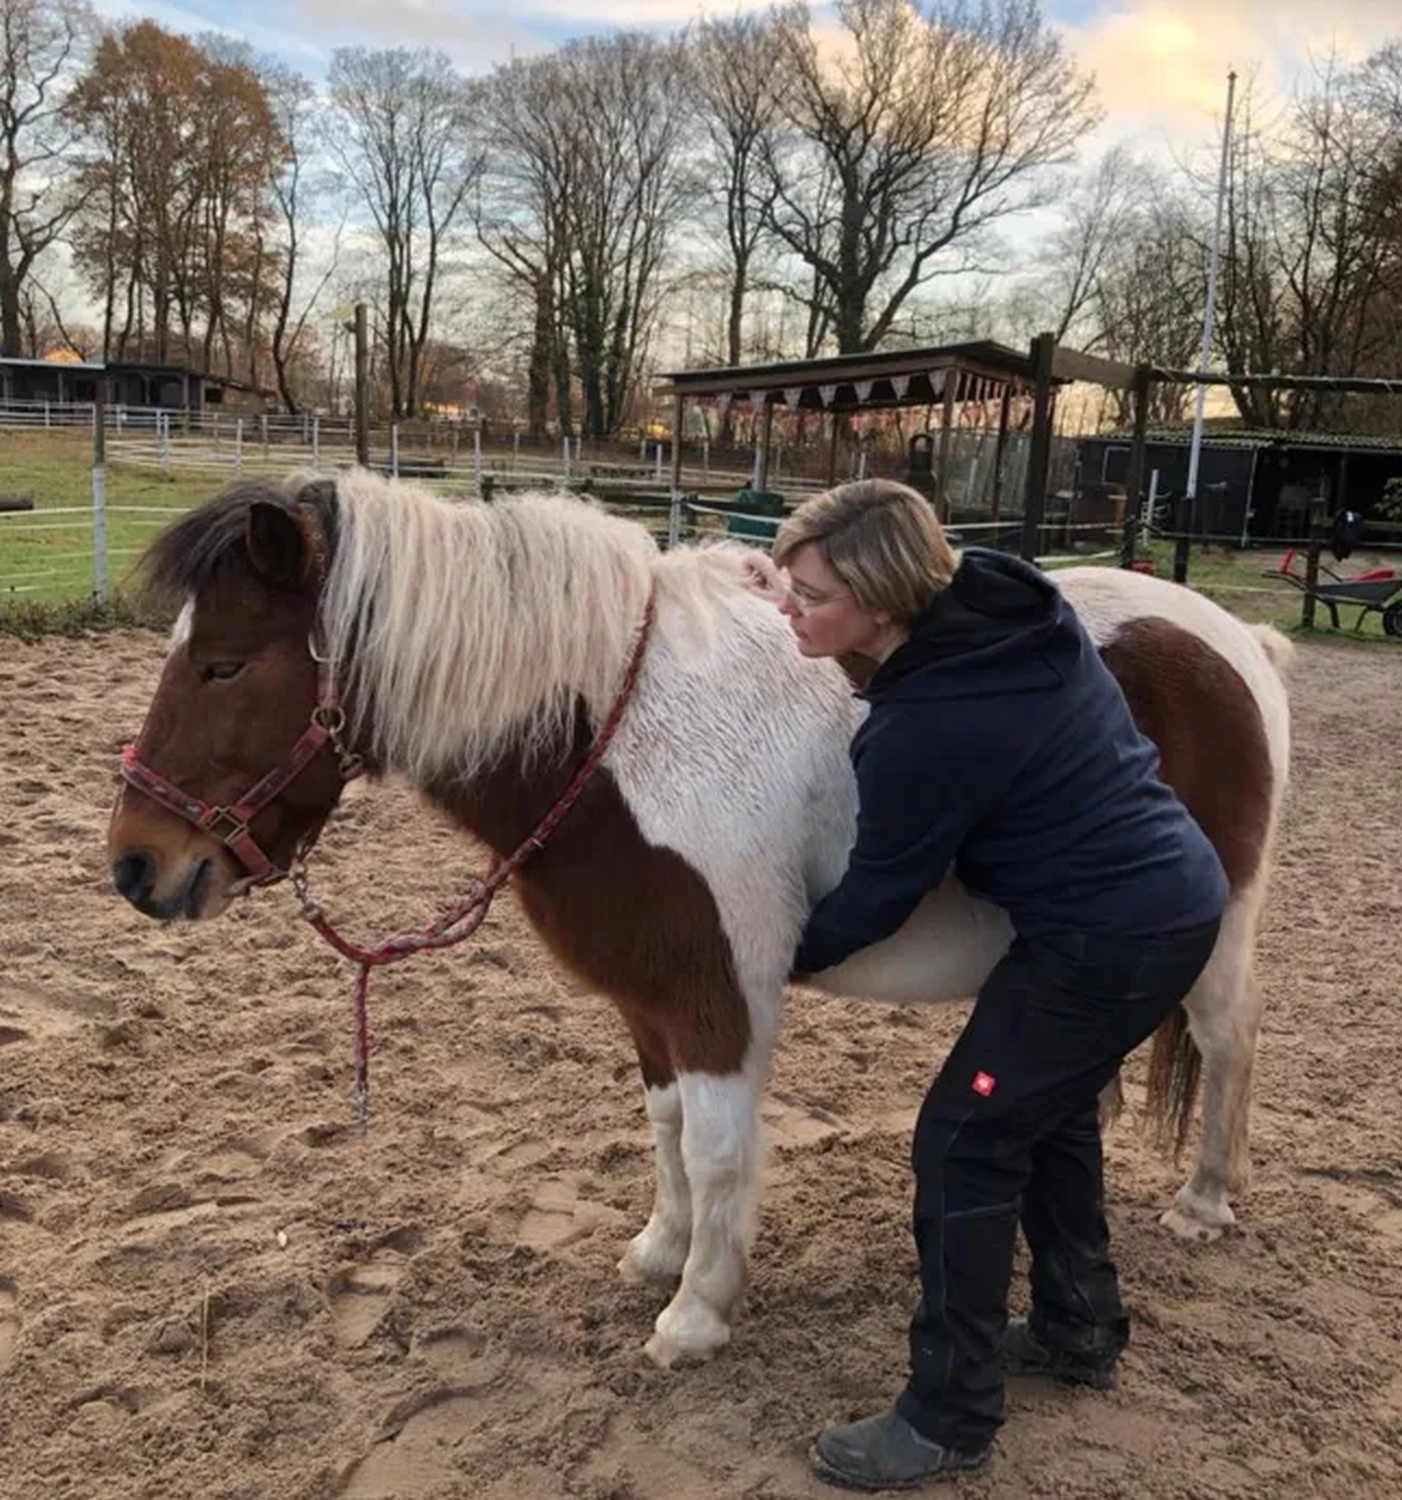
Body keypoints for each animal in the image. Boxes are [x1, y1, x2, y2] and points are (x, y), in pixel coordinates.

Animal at [107, 477, 1295, 1374]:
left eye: (222, 664)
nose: (136, 866)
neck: (618, 739)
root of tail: (1238, 639)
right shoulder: (650, 1002)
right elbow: (668, 1133)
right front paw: (660, 1252)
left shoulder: (720, 997)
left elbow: (720, 1150)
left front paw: (697, 1312)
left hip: (1222, 934)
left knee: (1233, 1040)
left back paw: (1206, 1201)